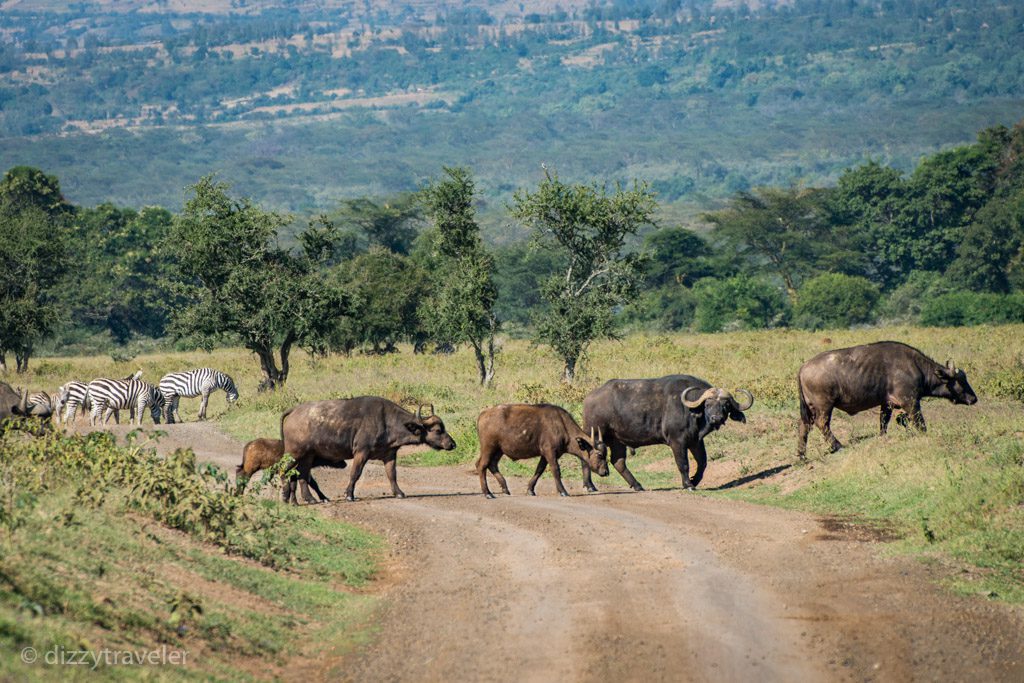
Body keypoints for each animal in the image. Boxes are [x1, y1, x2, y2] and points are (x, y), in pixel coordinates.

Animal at [281, 396, 455, 503]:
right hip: (294, 454)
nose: (452, 444)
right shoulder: (361, 452)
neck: (387, 421)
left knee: (303, 474)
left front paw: (399, 493)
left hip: (307, 456)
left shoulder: (390, 454)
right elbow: (355, 473)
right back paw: (286, 497)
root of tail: (294, 411)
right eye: (438, 430)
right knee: (285, 471)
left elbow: (392, 475)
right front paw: (349, 495)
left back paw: (309, 498)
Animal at [475, 403, 609, 498]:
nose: (606, 472)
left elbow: (539, 470)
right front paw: (563, 491)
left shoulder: (545, 455)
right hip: (489, 447)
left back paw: (504, 488)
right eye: (599, 455)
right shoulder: (550, 452)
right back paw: (488, 493)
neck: (562, 426)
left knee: (491, 464)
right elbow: (555, 470)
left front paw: (530, 490)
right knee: (482, 465)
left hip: (498, 450)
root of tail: (483, 414)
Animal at [582, 376, 753, 491]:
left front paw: (695, 481)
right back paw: (589, 486)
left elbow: (703, 463)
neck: (690, 411)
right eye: (708, 404)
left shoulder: (695, 441)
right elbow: (683, 464)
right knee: (586, 456)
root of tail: (589, 398)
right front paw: (688, 484)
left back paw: (637, 485)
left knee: (618, 462)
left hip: (617, 440)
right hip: (594, 434)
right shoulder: (677, 442)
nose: (716, 418)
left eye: (725, 405)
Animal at [797, 341, 978, 458]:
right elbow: (920, 422)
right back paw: (838, 446)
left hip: (809, 409)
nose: (974, 398)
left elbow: (884, 422)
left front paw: (883, 437)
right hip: (824, 406)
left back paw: (801, 455)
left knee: (804, 426)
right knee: (822, 424)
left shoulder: (887, 404)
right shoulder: (911, 402)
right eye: (960, 381)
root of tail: (803, 367)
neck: (916, 367)